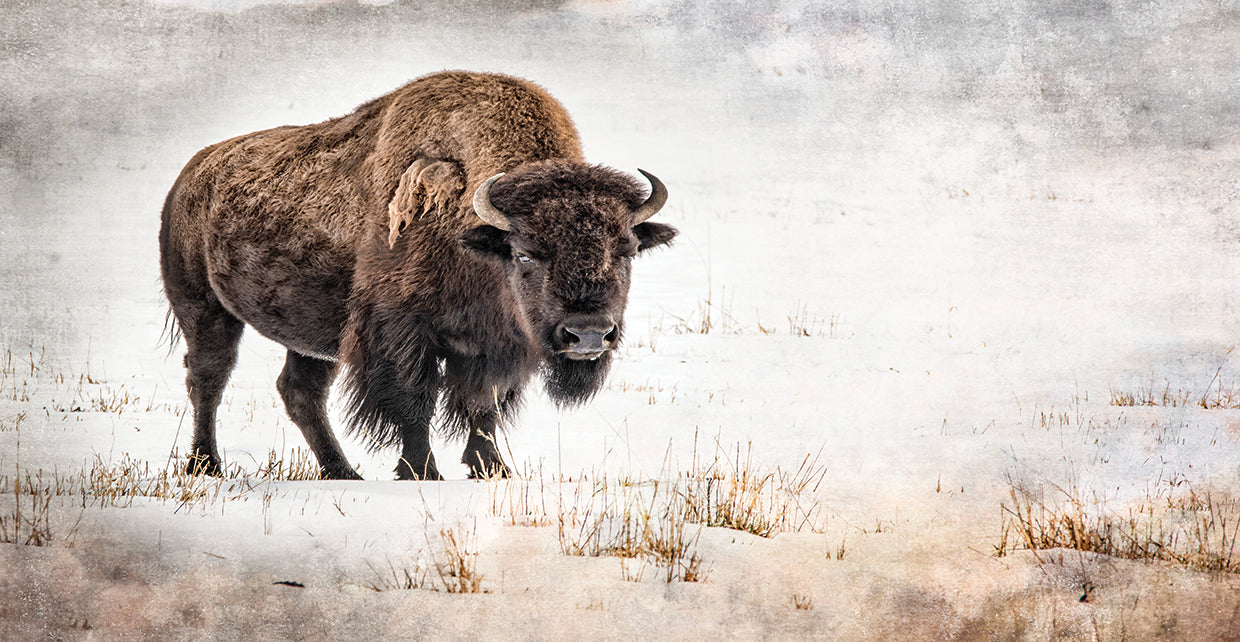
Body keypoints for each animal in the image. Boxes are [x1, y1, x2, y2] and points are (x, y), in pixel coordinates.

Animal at [159, 70, 676, 480]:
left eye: (627, 251)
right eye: (526, 254)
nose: (588, 335)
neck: (474, 238)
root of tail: (189, 176)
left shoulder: (493, 347)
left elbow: (483, 404)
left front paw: (492, 470)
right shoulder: (401, 334)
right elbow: (415, 401)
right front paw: (422, 472)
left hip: (309, 336)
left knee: (300, 392)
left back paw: (342, 472)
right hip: (203, 308)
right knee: (208, 378)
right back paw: (206, 465)